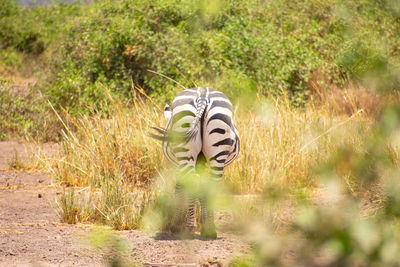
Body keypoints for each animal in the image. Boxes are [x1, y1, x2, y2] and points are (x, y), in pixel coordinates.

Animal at [148, 87, 239, 240]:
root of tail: (203, 94)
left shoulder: (179, 166)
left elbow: (179, 189)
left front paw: (176, 225)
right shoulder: (201, 163)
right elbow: (202, 188)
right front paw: (204, 222)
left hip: (185, 149)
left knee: (193, 182)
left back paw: (189, 229)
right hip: (217, 151)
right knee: (211, 184)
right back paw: (210, 230)